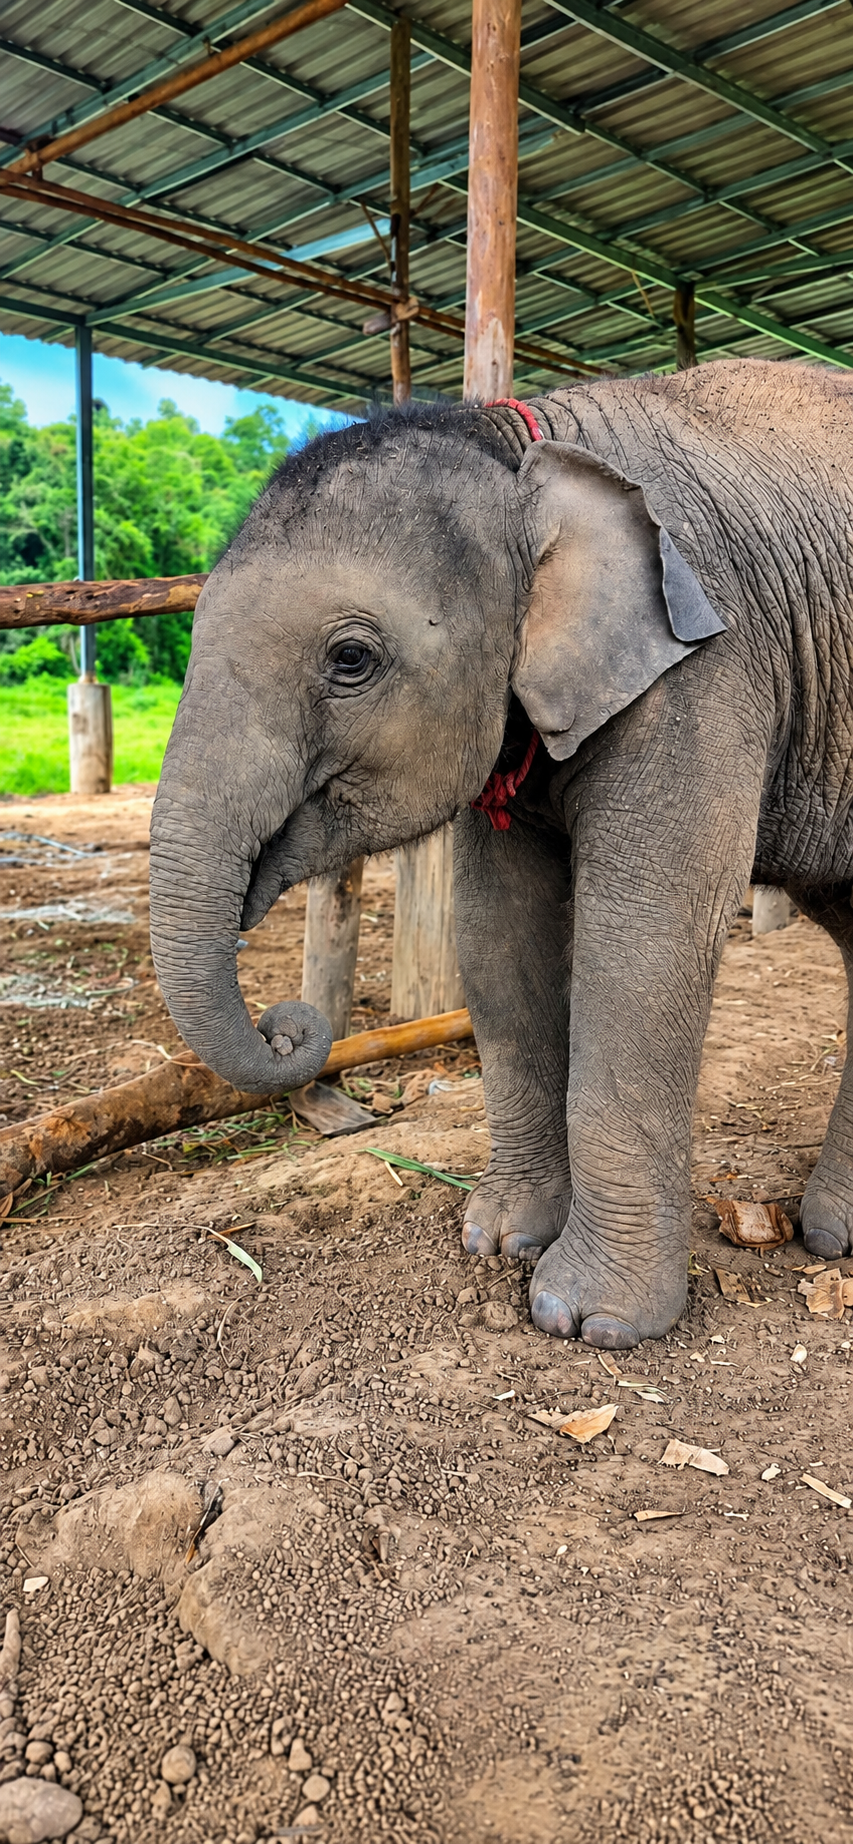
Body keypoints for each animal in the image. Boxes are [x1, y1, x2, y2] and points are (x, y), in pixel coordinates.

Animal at [149, 358, 853, 1350]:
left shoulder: (708, 666)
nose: (288, 1025)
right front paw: (498, 1239)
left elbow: (643, 940)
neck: (519, 448)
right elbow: (496, 934)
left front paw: (585, 1320)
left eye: (351, 659)